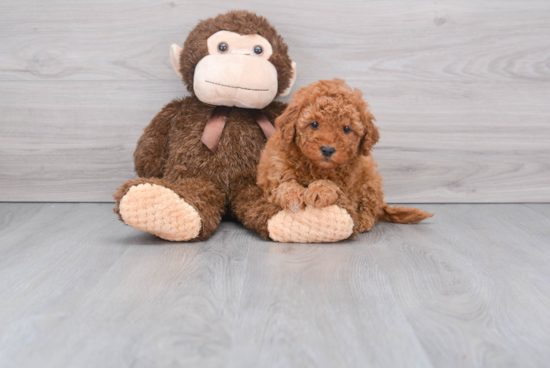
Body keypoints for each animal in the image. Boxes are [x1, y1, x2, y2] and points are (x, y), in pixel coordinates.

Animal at [258, 78, 436, 239]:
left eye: (346, 129)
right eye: (314, 124)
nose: (328, 149)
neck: (315, 166)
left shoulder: (348, 187)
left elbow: (331, 184)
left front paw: (319, 191)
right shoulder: (274, 170)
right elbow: (283, 183)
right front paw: (293, 195)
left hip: (370, 183)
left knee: (370, 209)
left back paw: (363, 221)